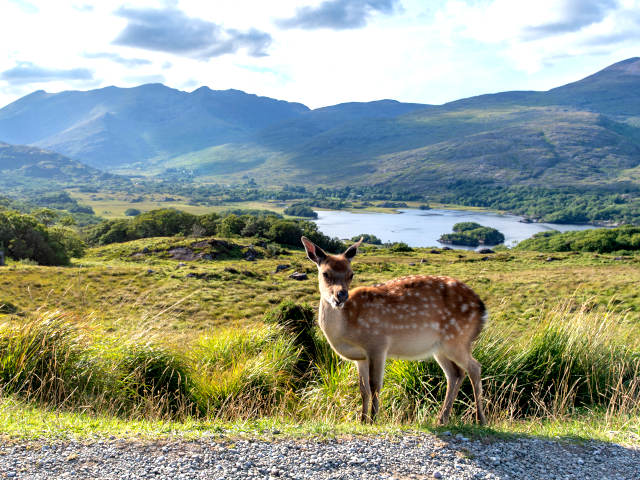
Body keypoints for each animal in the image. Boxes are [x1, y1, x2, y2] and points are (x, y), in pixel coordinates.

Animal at [300, 236, 484, 424]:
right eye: (325, 273)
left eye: (351, 274)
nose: (341, 295)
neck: (346, 328)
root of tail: (482, 309)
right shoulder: (360, 357)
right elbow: (363, 389)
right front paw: (362, 420)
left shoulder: (377, 344)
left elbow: (375, 385)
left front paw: (373, 419)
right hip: (440, 348)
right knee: (456, 374)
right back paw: (442, 418)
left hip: (457, 339)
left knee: (475, 368)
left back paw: (480, 419)